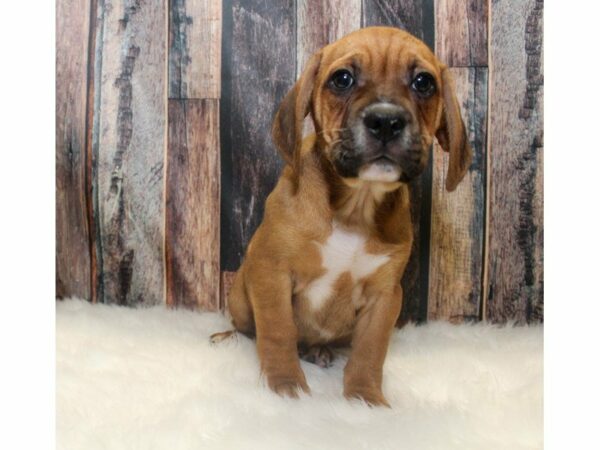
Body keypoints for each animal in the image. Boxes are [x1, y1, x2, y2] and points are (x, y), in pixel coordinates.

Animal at [218, 26, 472, 406]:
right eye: (342, 79)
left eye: (424, 82)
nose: (386, 121)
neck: (355, 204)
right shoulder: (272, 272)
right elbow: (278, 331)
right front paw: (286, 385)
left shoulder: (384, 296)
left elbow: (370, 351)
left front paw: (366, 399)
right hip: (240, 296)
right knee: (249, 328)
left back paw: (319, 351)